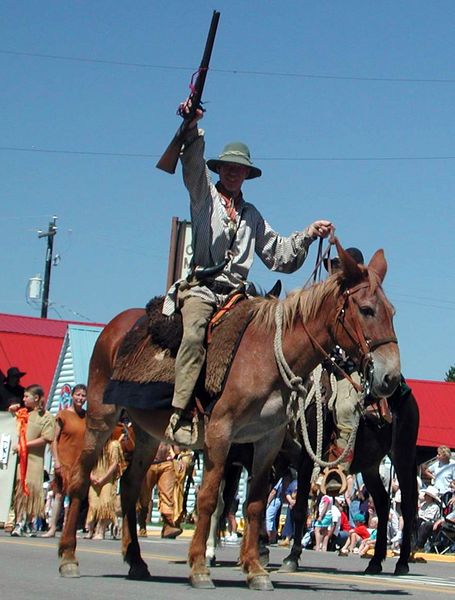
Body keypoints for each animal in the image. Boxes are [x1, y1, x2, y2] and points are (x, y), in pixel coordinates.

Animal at [58, 243, 402, 592]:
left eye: (391, 312)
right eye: (366, 310)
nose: (390, 378)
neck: (267, 356)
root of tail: (114, 327)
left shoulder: (265, 442)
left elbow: (254, 504)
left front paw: (255, 569)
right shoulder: (221, 436)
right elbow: (209, 499)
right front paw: (200, 565)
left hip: (147, 433)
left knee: (128, 485)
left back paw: (137, 560)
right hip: (102, 417)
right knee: (81, 478)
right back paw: (69, 557)